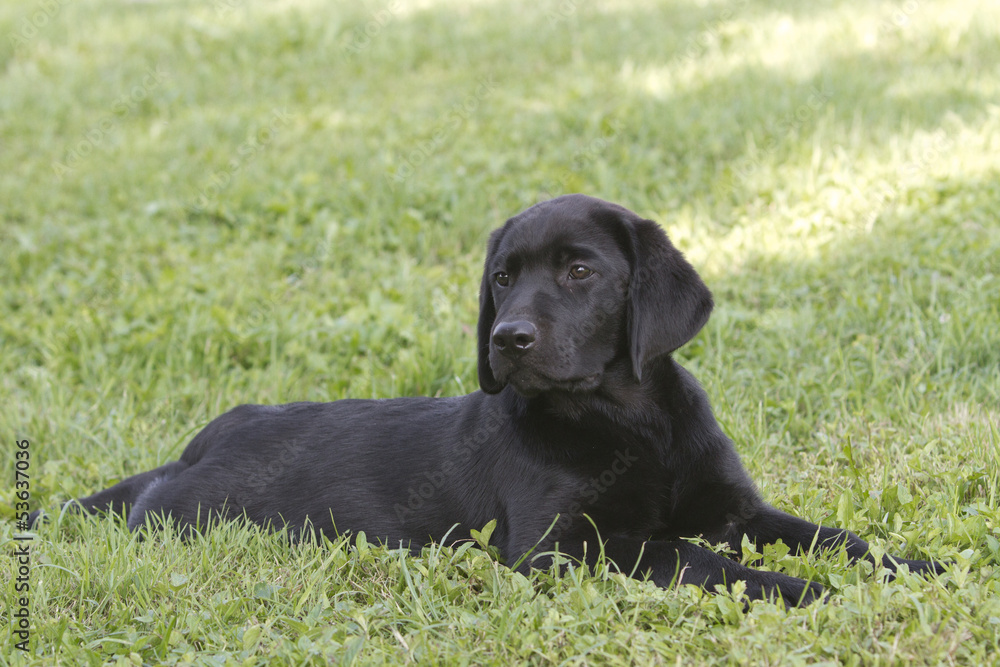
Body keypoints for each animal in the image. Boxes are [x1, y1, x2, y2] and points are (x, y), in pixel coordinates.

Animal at [27, 193, 940, 604]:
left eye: (579, 270)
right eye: (502, 278)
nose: (508, 338)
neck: (629, 420)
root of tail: (190, 449)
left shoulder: (736, 507)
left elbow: (835, 535)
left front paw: (914, 565)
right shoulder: (561, 547)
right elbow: (689, 554)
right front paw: (803, 591)